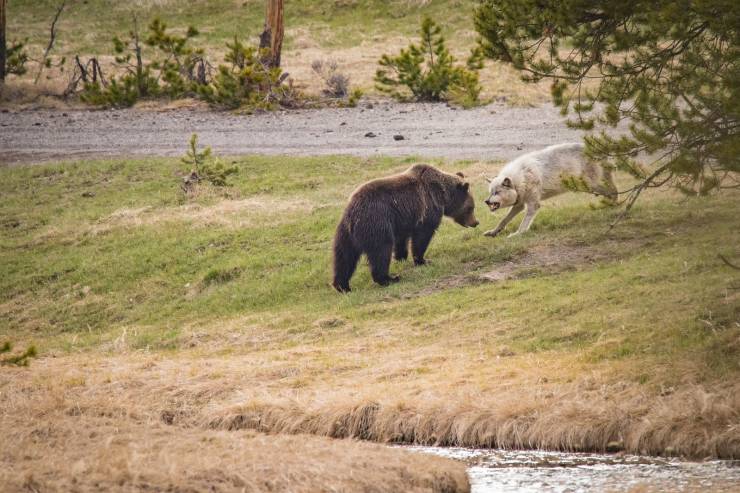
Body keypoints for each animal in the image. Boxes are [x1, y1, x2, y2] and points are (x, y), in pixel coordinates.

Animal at [330, 161, 480, 292]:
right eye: (471, 207)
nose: (475, 222)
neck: (442, 195)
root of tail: (353, 214)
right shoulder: (427, 209)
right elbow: (422, 236)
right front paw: (422, 260)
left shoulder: (402, 219)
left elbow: (402, 239)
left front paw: (401, 256)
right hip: (376, 223)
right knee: (381, 251)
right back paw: (389, 278)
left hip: (344, 233)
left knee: (344, 258)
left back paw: (342, 286)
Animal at [482, 141, 616, 237]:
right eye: (490, 193)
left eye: (497, 192)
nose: (486, 201)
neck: (521, 178)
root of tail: (595, 148)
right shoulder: (519, 204)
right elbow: (503, 220)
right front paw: (493, 232)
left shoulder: (533, 205)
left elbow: (523, 225)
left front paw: (517, 234)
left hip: (590, 185)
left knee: (613, 191)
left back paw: (613, 205)